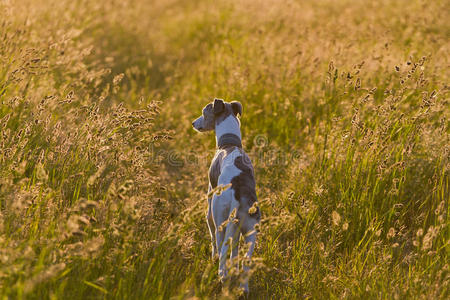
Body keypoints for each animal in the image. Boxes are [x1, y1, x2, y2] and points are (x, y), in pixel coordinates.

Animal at [190, 98, 260, 292]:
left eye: (204, 112)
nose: (193, 123)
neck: (229, 145)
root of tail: (237, 192)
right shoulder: (237, 230)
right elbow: (235, 252)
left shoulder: (210, 211)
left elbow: (214, 242)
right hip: (250, 230)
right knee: (245, 261)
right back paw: (243, 288)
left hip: (220, 218)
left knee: (221, 249)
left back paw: (222, 277)